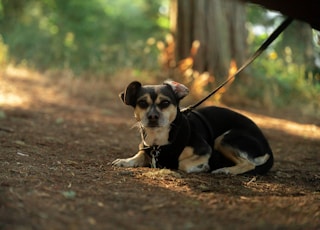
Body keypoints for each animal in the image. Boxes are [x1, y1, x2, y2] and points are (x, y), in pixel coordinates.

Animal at [112, 81, 272, 174]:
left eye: (165, 103)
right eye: (142, 103)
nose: (152, 117)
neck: (159, 140)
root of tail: (267, 146)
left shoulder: (204, 149)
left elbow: (182, 164)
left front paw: (202, 166)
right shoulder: (145, 149)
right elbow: (138, 155)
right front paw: (125, 161)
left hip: (223, 139)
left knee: (250, 164)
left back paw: (226, 170)